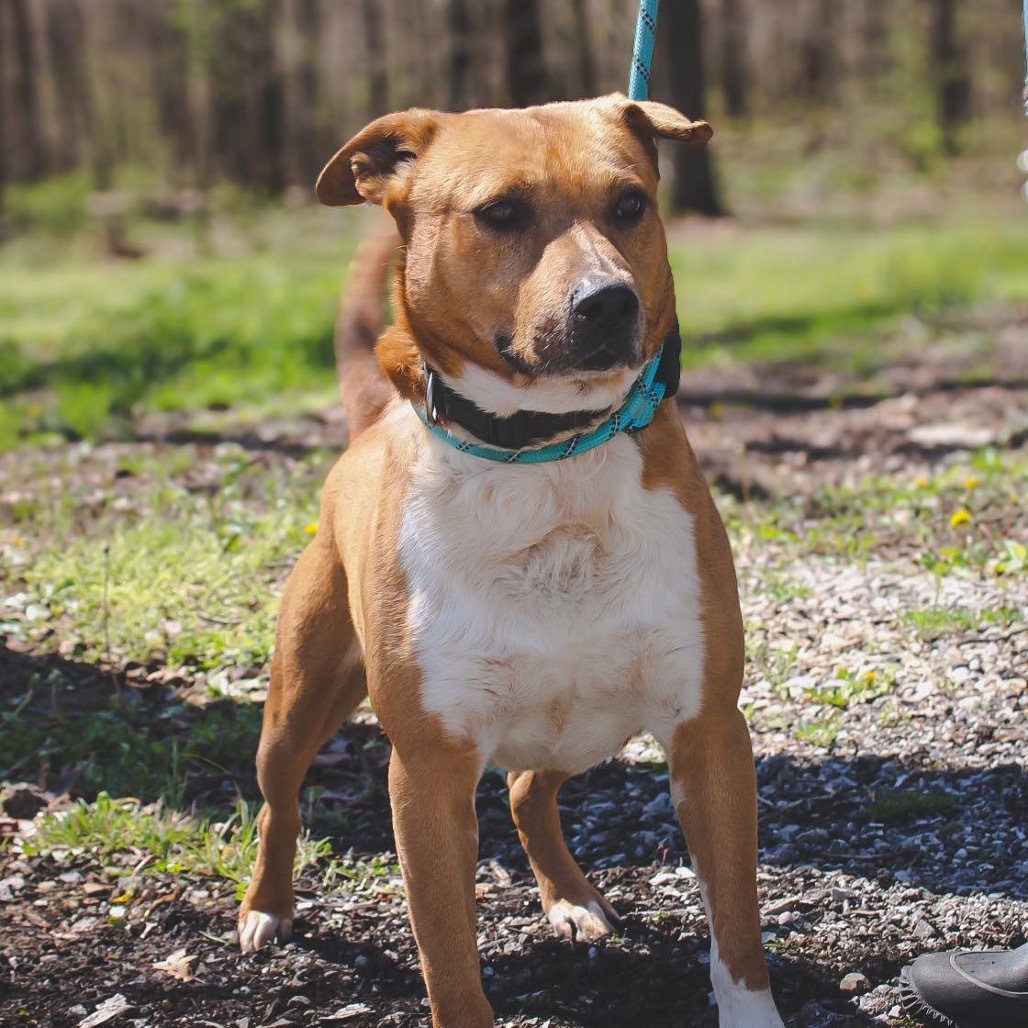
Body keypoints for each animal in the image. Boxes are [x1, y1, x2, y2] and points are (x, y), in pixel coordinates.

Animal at [240, 96, 781, 1028]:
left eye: (630, 205)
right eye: (500, 213)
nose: (608, 302)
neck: (548, 459)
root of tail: (369, 427)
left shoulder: (708, 732)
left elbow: (738, 932)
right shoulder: (428, 772)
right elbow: (450, 962)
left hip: (591, 722)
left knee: (530, 788)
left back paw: (571, 896)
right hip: (302, 697)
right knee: (280, 799)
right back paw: (266, 909)